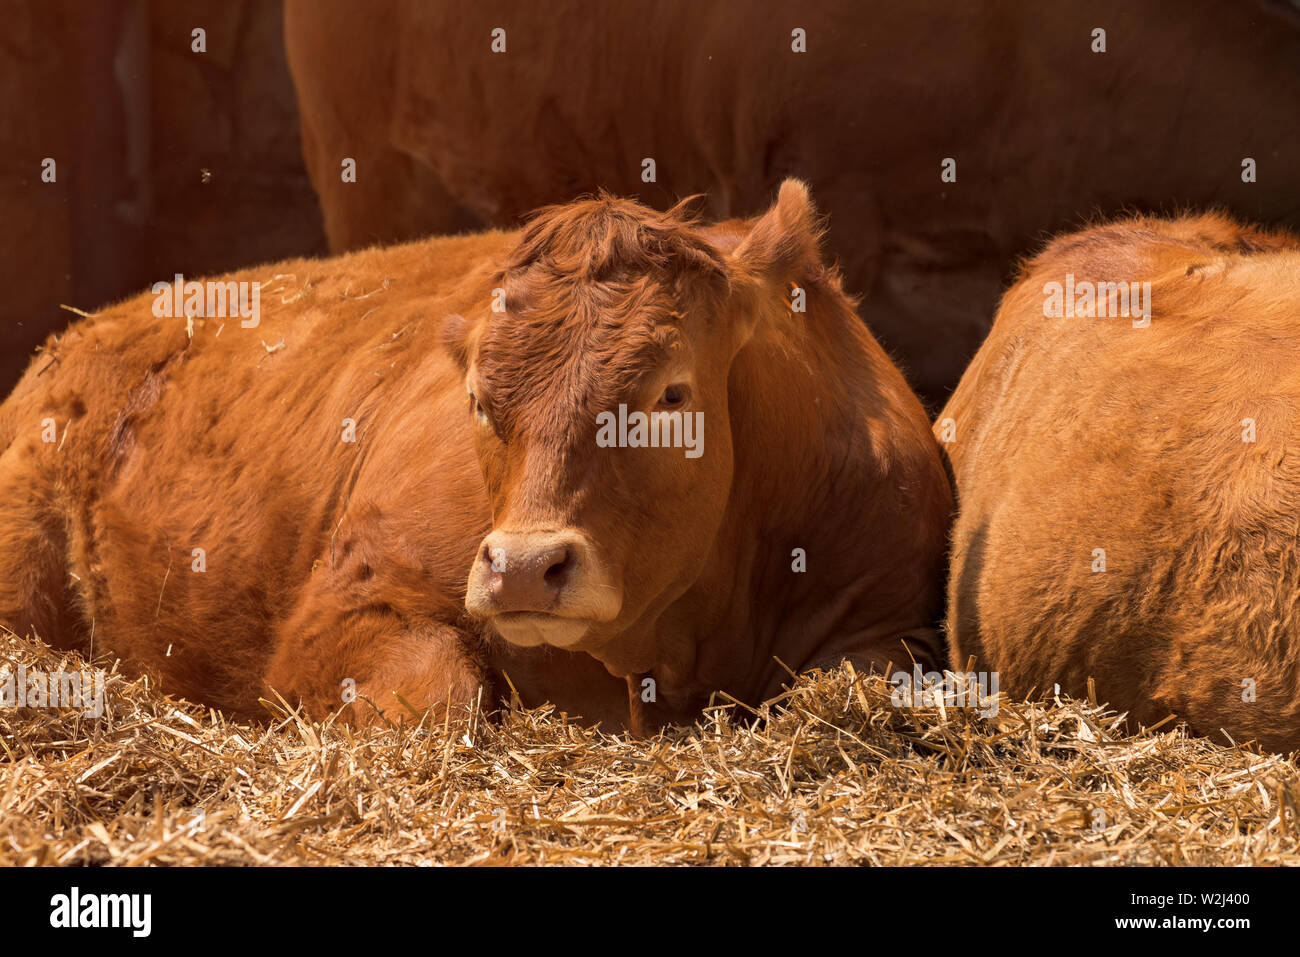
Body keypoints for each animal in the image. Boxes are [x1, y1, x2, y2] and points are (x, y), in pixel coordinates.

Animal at [0, 180, 956, 733]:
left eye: (671, 394)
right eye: (477, 401)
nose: (525, 566)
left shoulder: (885, 615)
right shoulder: (349, 605)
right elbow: (443, 693)